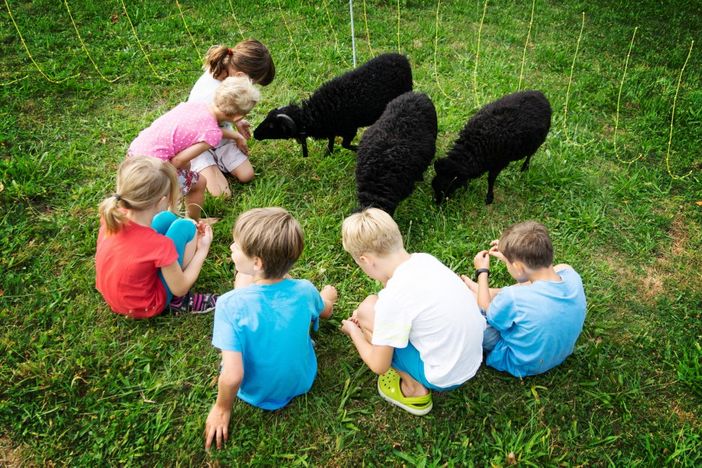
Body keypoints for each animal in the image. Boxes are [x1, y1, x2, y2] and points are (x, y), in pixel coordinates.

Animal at [253, 52, 412, 156]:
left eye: (272, 126)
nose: (255, 134)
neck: (315, 113)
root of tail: (402, 57)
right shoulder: (332, 128)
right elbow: (332, 139)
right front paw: (328, 153)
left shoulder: (350, 129)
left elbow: (345, 144)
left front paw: (357, 149)